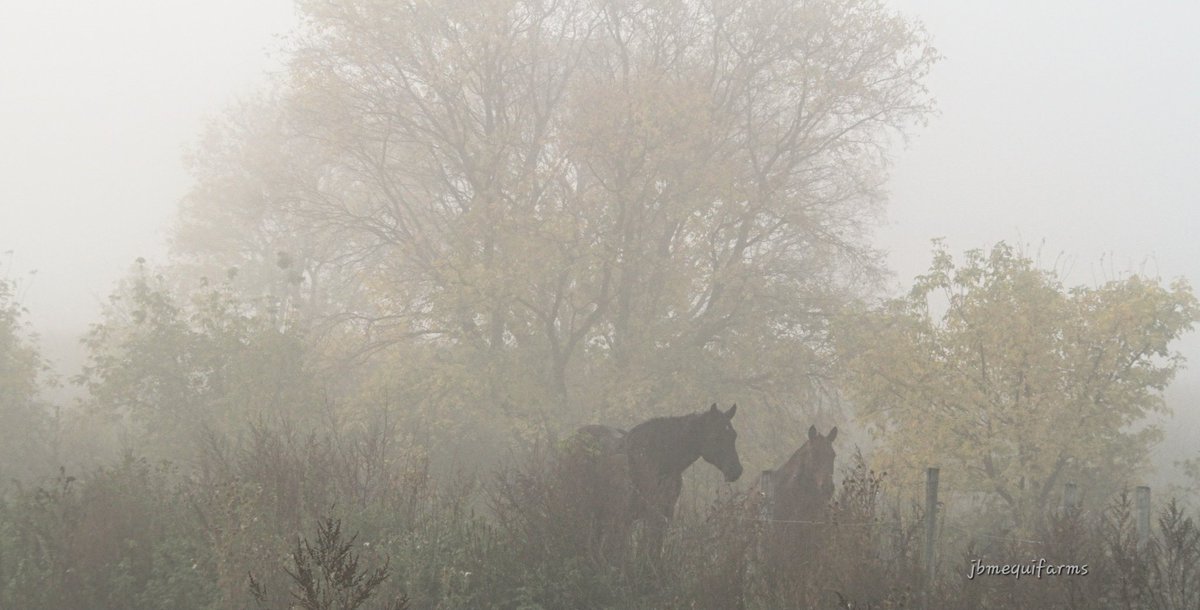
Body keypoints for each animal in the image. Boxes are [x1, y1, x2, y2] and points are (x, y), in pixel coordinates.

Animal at [565, 403, 744, 561]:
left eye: (734, 435)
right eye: (717, 437)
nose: (736, 470)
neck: (656, 459)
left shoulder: (663, 515)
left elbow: (654, 551)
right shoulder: (641, 516)